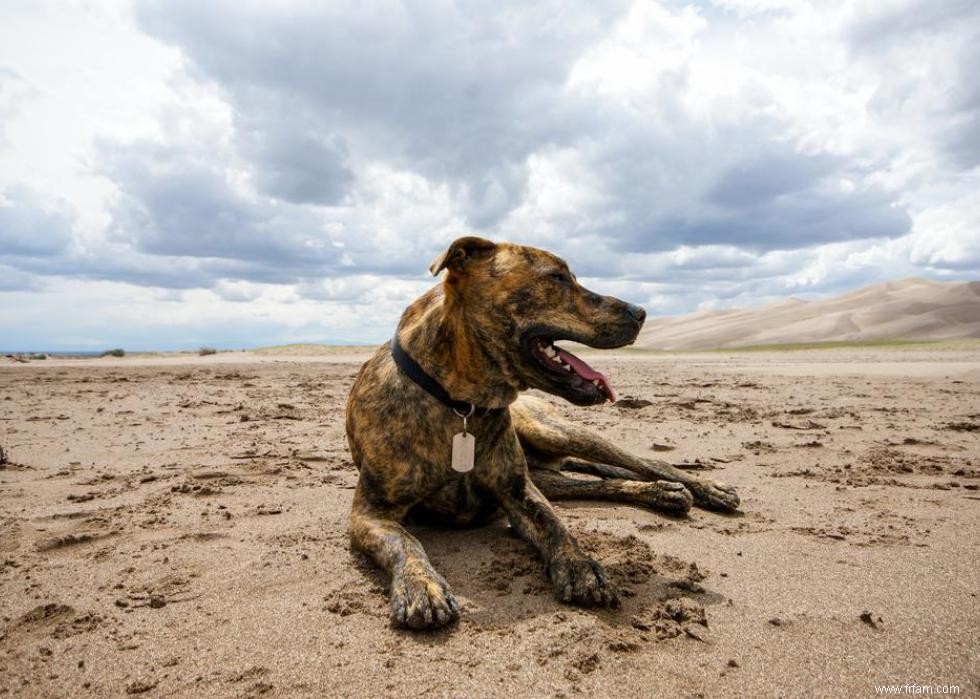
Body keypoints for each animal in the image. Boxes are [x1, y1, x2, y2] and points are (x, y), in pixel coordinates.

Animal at [344, 238, 736, 632]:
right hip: (551, 474)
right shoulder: (370, 513)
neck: (460, 404)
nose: (640, 312)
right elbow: (405, 541)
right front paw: (421, 585)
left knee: (644, 462)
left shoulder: (519, 492)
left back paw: (703, 488)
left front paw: (580, 566)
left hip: (555, 432)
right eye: (557, 277)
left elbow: (555, 524)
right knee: (598, 482)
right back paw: (663, 493)